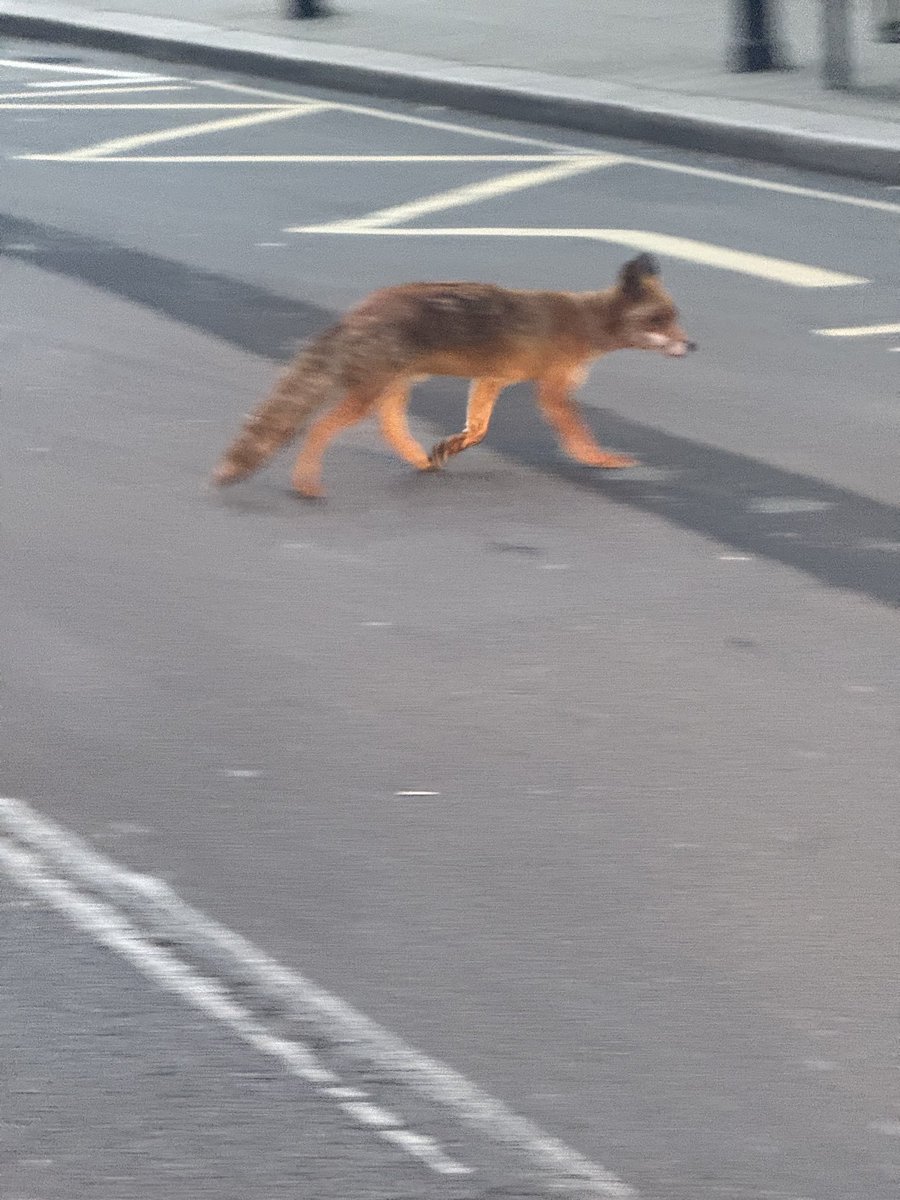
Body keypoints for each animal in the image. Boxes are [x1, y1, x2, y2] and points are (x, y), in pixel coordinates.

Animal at [212, 252, 695, 499]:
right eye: (661, 320)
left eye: (676, 319)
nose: (692, 347)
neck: (582, 322)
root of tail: (359, 310)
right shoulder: (552, 391)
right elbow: (580, 436)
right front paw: (602, 460)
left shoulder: (492, 379)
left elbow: (477, 430)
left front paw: (450, 447)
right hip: (369, 394)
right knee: (321, 428)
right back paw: (307, 482)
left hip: (394, 388)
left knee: (390, 427)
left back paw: (420, 460)